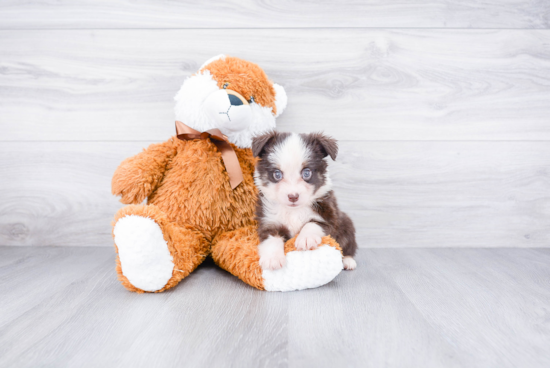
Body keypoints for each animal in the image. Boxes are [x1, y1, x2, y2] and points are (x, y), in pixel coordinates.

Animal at [253, 131, 360, 272]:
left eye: (307, 173)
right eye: (277, 174)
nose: (293, 196)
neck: (293, 210)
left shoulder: (330, 218)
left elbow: (312, 224)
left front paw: (306, 238)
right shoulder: (269, 222)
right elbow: (271, 239)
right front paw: (273, 259)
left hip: (346, 223)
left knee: (347, 245)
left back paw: (348, 260)